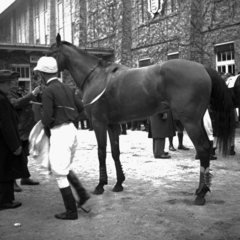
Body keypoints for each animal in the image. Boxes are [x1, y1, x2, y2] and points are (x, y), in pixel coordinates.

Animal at [47, 34, 234, 205]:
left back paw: (201, 193)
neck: (96, 76)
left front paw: (100, 185)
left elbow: (101, 152)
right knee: (207, 147)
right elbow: (115, 152)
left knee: (203, 149)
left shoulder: (99, 123)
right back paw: (202, 188)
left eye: (51, 53)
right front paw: (119, 183)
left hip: (190, 122)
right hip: (197, 121)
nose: (41, 77)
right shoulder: (113, 125)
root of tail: (203, 68)